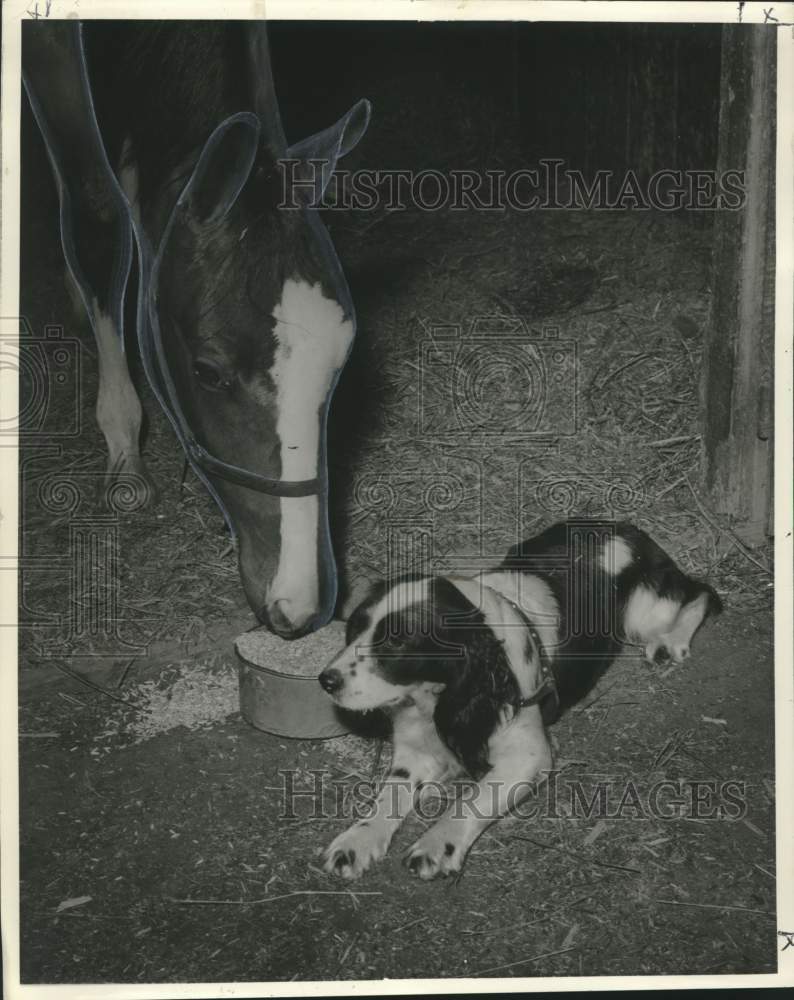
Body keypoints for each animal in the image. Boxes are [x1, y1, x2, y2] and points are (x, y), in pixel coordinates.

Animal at [314, 520, 716, 880]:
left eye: (397, 640)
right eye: (355, 627)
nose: (326, 681)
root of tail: (627, 528)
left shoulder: (529, 756)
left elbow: (471, 799)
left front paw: (437, 844)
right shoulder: (416, 749)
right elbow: (388, 796)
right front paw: (356, 841)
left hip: (645, 611)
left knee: (703, 594)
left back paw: (672, 641)